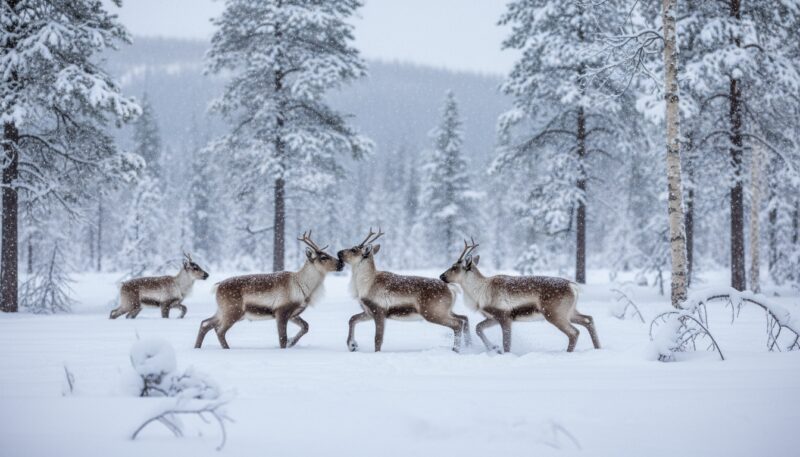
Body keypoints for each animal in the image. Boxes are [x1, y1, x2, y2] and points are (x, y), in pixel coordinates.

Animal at [194, 231, 343, 350]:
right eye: (323, 257)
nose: (341, 263)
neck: (304, 287)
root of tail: (217, 286)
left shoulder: (293, 313)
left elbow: (306, 326)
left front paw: (292, 342)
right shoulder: (281, 311)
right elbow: (282, 338)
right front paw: (287, 344)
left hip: (224, 311)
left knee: (205, 323)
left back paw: (197, 347)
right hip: (233, 311)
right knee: (219, 331)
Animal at [337, 228, 471, 352]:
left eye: (354, 249)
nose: (339, 252)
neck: (365, 284)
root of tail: (451, 288)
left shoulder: (379, 311)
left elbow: (378, 339)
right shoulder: (369, 311)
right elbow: (352, 319)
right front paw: (352, 345)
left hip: (433, 312)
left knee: (457, 323)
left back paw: (456, 349)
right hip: (446, 311)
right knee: (463, 318)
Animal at [439, 239, 601, 353]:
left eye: (455, 267)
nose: (441, 276)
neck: (479, 292)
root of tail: (573, 286)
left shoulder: (504, 316)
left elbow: (507, 343)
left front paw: (502, 351)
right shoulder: (493, 317)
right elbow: (478, 328)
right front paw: (494, 348)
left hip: (555, 314)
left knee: (574, 332)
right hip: (570, 312)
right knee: (588, 320)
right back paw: (598, 348)